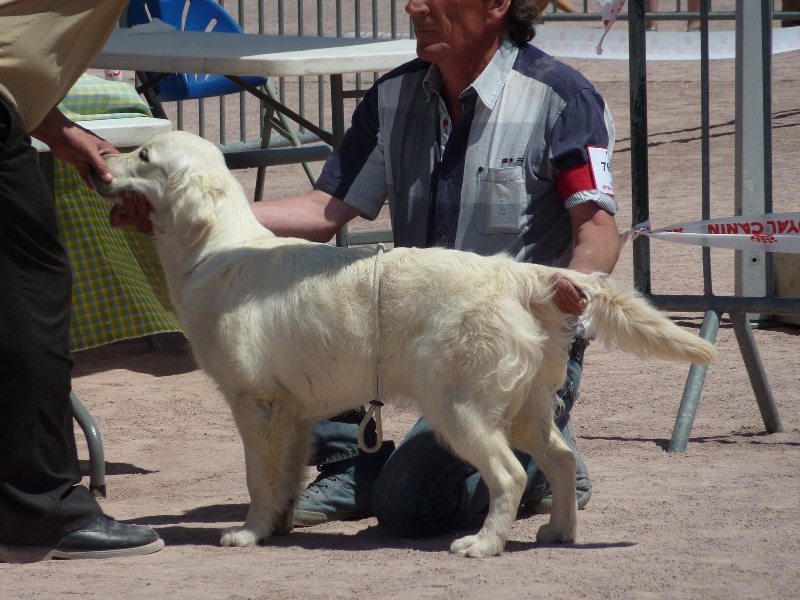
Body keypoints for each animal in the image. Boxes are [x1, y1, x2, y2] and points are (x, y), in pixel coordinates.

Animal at [94, 131, 720, 556]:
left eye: (143, 156)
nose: (99, 162)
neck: (214, 247)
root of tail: (518, 273)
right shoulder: (292, 412)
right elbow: (286, 476)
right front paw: (279, 525)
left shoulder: (257, 403)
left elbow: (258, 477)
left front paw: (248, 532)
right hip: (524, 406)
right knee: (561, 458)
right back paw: (559, 529)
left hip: (457, 406)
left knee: (510, 475)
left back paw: (482, 545)